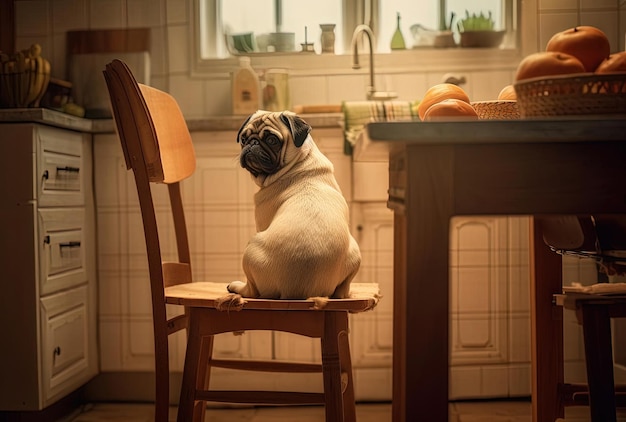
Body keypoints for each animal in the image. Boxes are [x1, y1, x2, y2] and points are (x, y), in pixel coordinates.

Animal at [227, 110, 358, 298]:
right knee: (342, 290)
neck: (300, 162)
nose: (252, 143)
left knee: (252, 291)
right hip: (356, 253)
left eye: (272, 140)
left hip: (250, 248)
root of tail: (297, 290)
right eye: (243, 139)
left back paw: (237, 286)